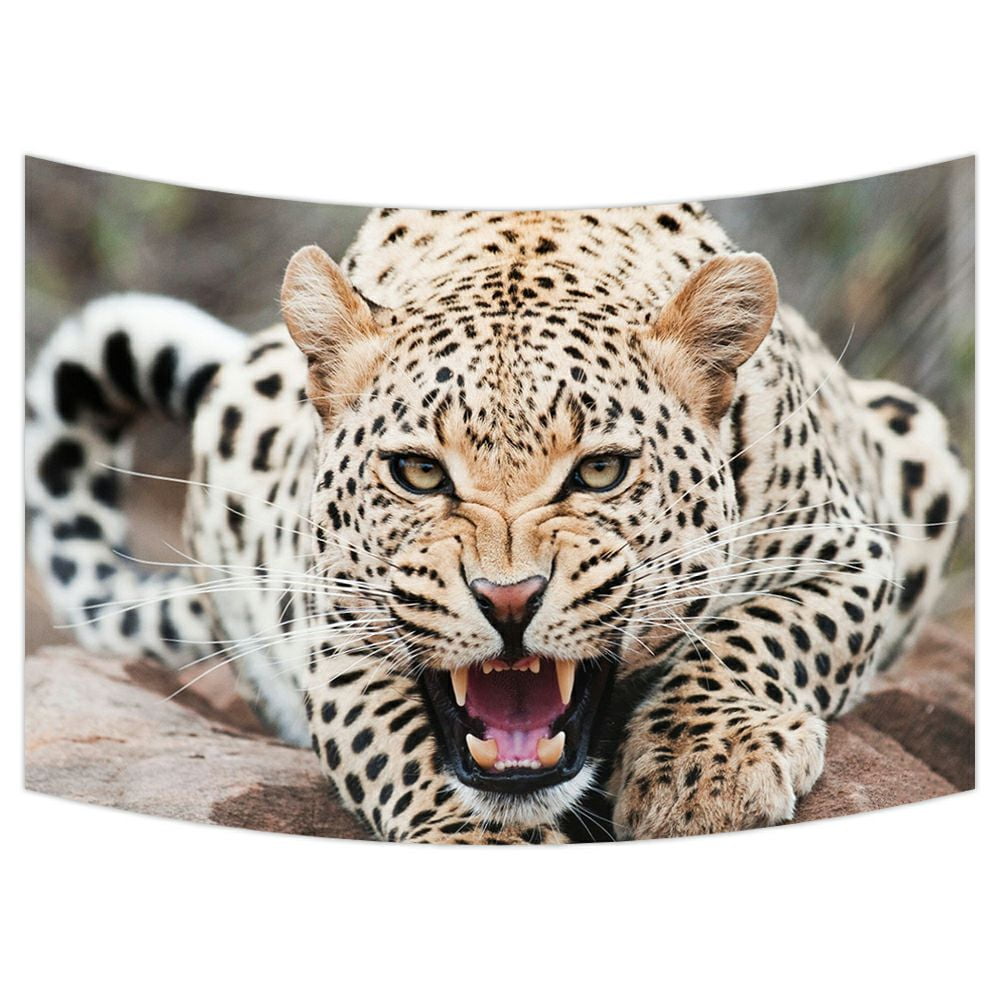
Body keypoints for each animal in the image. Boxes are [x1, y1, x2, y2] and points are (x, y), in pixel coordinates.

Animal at [25, 203, 969, 843]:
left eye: (600, 471)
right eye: (417, 472)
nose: (508, 600)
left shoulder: (851, 551)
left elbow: (762, 635)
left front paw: (706, 770)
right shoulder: (337, 634)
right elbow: (405, 748)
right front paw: (484, 837)